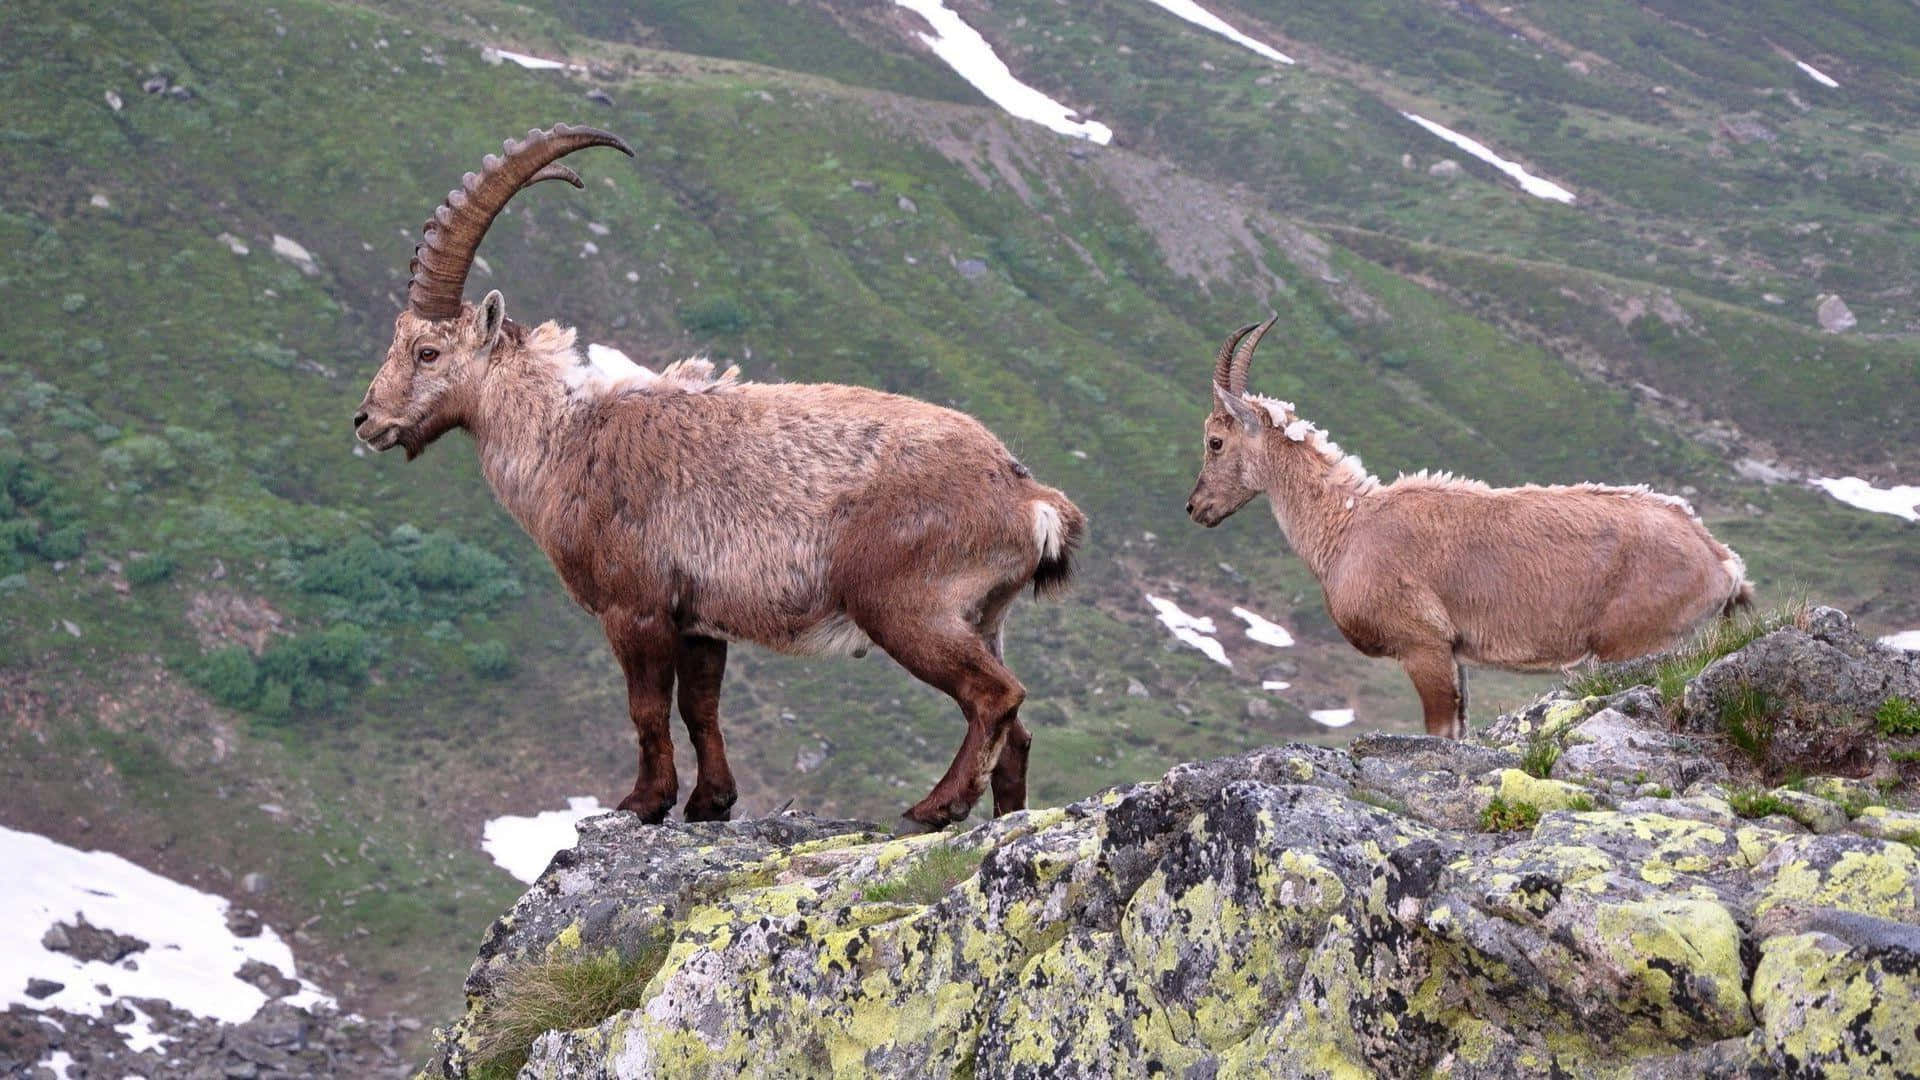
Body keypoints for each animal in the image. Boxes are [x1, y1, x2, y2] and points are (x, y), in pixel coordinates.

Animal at [353, 126, 1085, 830]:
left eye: (427, 351)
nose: (366, 420)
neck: (567, 440)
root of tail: (1028, 495)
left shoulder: (637, 607)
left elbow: (648, 708)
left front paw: (644, 803)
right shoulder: (701, 619)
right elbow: (701, 708)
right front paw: (711, 803)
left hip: (908, 607)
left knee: (996, 696)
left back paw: (935, 807)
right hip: (983, 616)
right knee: (1016, 731)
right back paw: (1000, 817)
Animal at [1185, 317, 1752, 738]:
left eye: (1215, 440)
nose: (1195, 507)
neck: (1347, 527)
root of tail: (1723, 564)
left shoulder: (1423, 646)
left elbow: (1440, 732)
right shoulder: (1454, 654)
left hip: (1639, 644)